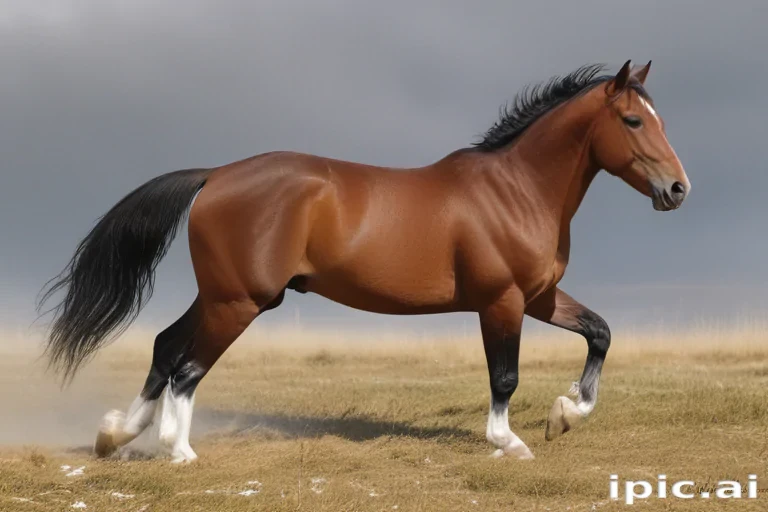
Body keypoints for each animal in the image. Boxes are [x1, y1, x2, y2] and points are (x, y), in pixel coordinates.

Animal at [39, 60, 690, 463]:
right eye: (633, 120)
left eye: (660, 119)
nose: (678, 189)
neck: (516, 190)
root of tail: (217, 174)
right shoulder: (500, 301)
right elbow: (504, 376)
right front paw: (510, 442)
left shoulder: (539, 298)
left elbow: (600, 333)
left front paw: (566, 414)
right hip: (239, 302)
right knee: (187, 367)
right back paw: (177, 451)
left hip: (223, 296)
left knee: (166, 347)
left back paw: (115, 435)